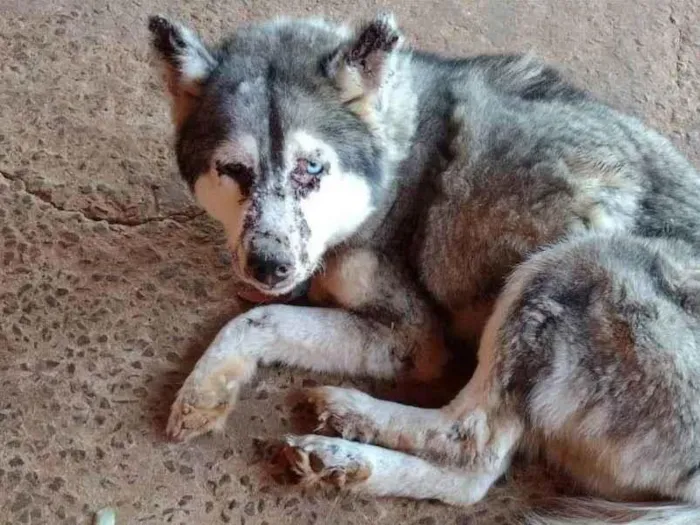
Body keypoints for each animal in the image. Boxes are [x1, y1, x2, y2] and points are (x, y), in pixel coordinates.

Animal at [149, 13, 700, 524]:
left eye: (312, 168)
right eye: (234, 170)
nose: (269, 266)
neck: (396, 150)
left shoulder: (413, 337)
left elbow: (259, 321)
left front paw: (204, 386)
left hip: (568, 265)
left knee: (470, 443)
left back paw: (348, 428)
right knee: (470, 479)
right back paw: (349, 459)